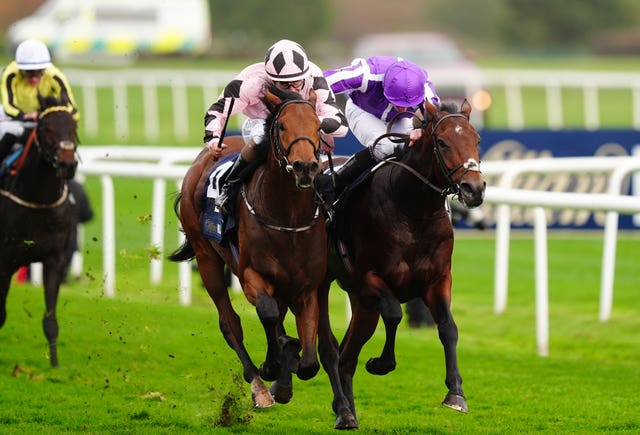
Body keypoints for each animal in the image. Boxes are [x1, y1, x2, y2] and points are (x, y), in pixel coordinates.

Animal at [168, 85, 358, 430]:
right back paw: (259, 385)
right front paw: (272, 367)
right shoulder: (251, 276)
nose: (305, 166)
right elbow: (268, 315)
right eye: (281, 126)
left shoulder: (307, 287)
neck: (288, 217)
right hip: (207, 258)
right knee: (231, 324)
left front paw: (289, 369)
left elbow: (310, 358)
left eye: (318, 126)